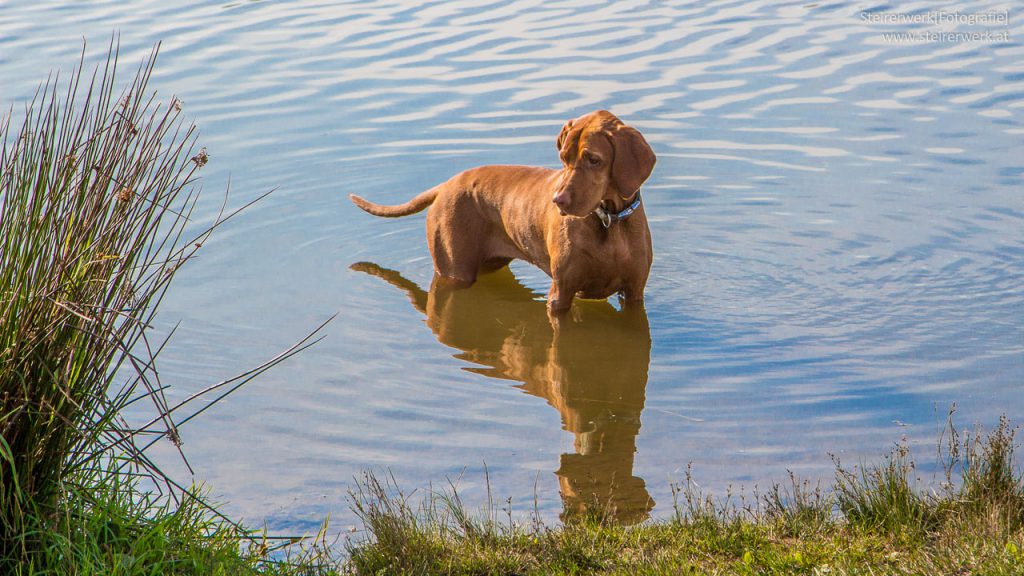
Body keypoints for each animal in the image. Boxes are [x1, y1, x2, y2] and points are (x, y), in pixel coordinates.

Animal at [350, 110, 655, 311]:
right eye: (563, 158)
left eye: (593, 159)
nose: (558, 200)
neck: (609, 221)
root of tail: (445, 185)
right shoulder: (560, 293)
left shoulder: (634, 293)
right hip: (454, 268)